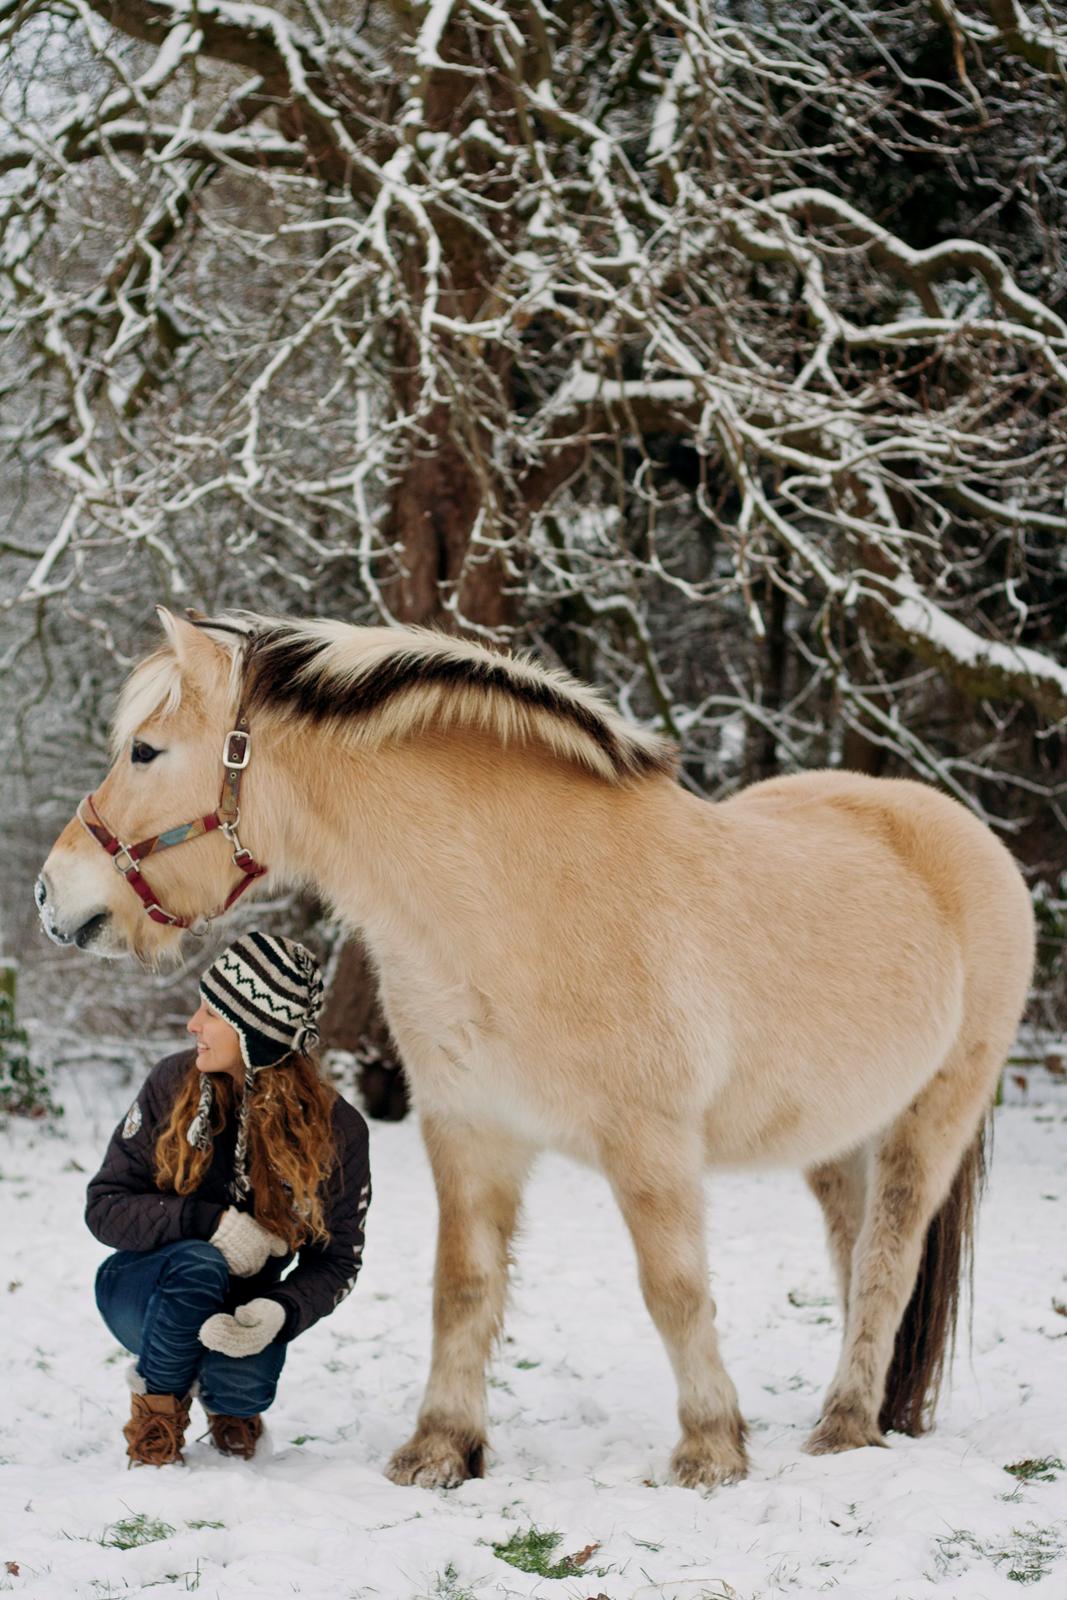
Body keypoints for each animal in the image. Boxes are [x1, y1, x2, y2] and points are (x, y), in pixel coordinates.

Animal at [39, 608, 1036, 1484]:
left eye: (144, 750)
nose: (56, 897)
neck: (523, 900)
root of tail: (957, 830)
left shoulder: (650, 1147)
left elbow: (674, 1290)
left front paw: (710, 1450)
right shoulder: (470, 1132)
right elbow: (462, 1288)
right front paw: (441, 1450)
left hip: (932, 1117)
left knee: (886, 1262)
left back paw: (842, 1425)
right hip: (833, 1139)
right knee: (852, 1253)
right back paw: (860, 1412)